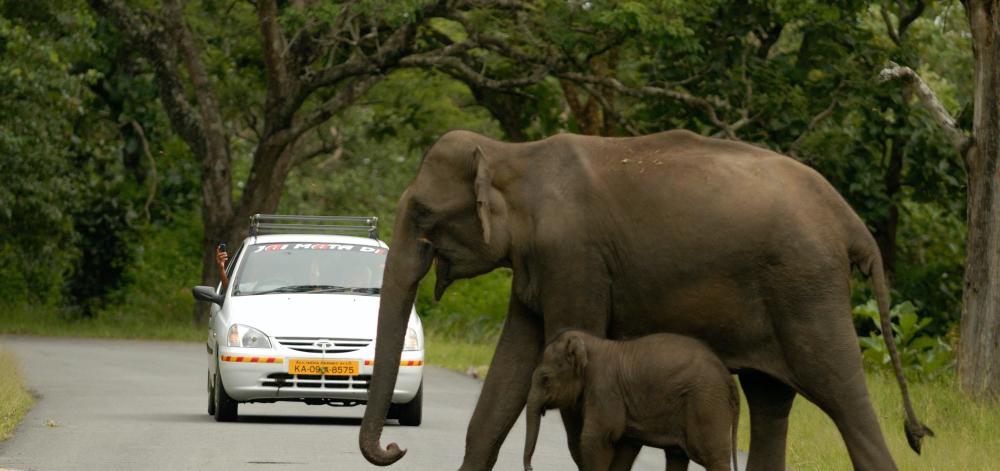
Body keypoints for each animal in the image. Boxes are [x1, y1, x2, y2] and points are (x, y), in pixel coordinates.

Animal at [520, 332, 740, 471]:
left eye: (545, 379)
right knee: (677, 456)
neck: (592, 344)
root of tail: (728, 378)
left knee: (713, 458)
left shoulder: (604, 389)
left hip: (707, 404)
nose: (531, 467)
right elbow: (626, 446)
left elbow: (595, 439)